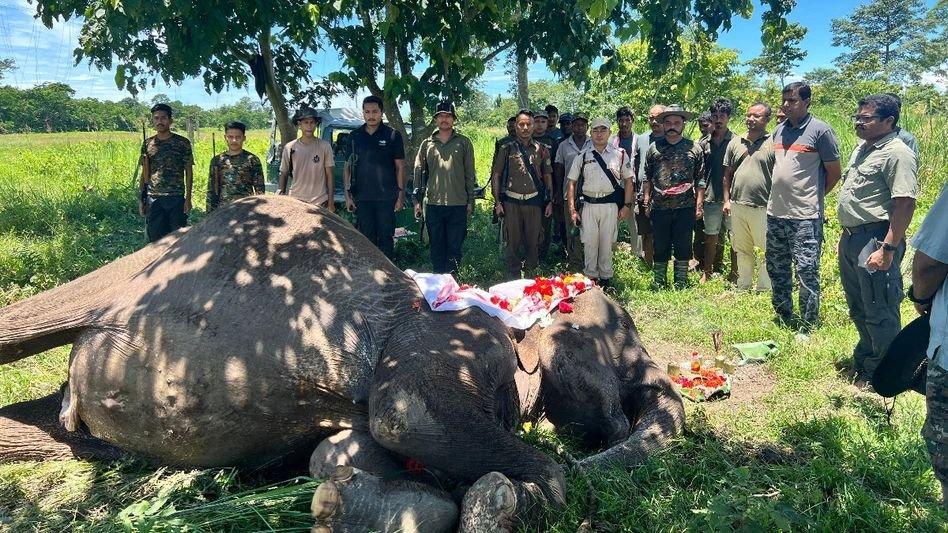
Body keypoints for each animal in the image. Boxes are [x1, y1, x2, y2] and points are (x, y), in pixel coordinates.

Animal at [0, 195, 684, 531]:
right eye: (619, 342)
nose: (617, 421)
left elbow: (336, 452)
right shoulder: (448, 337)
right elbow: (403, 415)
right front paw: (503, 503)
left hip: (84, 424)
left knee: (51, 432)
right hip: (125, 271)